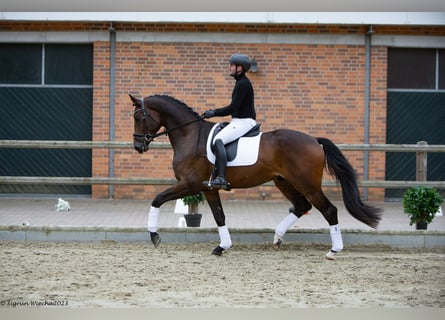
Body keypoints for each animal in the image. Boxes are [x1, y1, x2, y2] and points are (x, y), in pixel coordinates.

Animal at [129, 94, 382, 258]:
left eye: (139, 117)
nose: (138, 147)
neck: (190, 135)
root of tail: (314, 140)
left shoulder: (189, 185)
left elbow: (157, 199)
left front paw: (154, 236)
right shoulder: (208, 188)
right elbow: (219, 216)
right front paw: (222, 247)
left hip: (307, 184)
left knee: (329, 210)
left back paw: (333, 250)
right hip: (284, 182)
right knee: (301, 206)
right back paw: (277, 238)